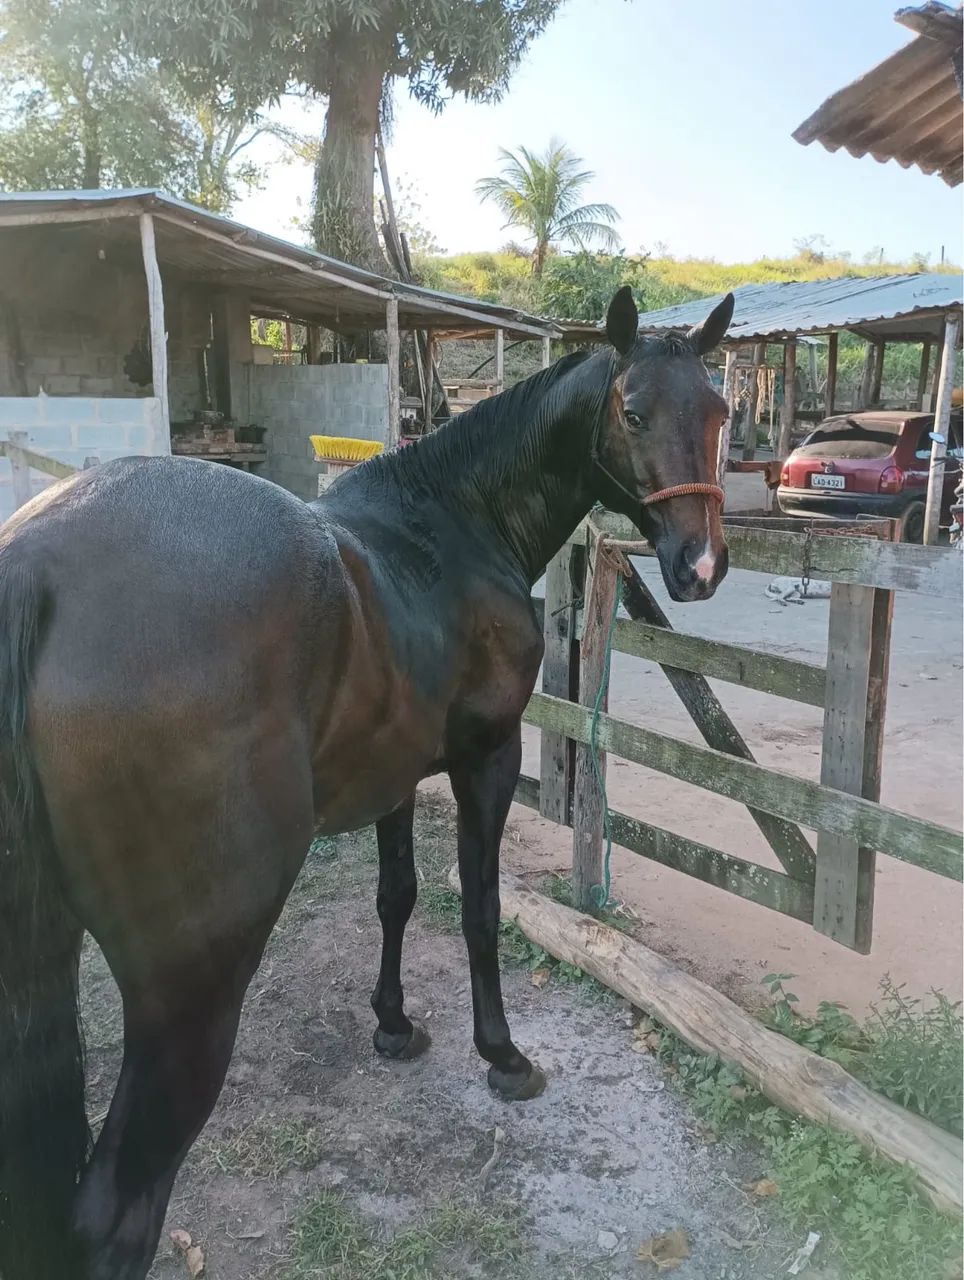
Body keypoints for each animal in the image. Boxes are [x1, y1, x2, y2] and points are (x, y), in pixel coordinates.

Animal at [0, 286, 734, 1279]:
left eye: (720, 411)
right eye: (634, 411)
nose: (701, 566)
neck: (452, 523)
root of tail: (38, 566)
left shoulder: (397, 772)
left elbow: (397, 895)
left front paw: (392, 1023)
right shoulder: (485, 759)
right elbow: (476, 908)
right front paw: (501, 1054)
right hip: (189, 996)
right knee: (115, 1214)